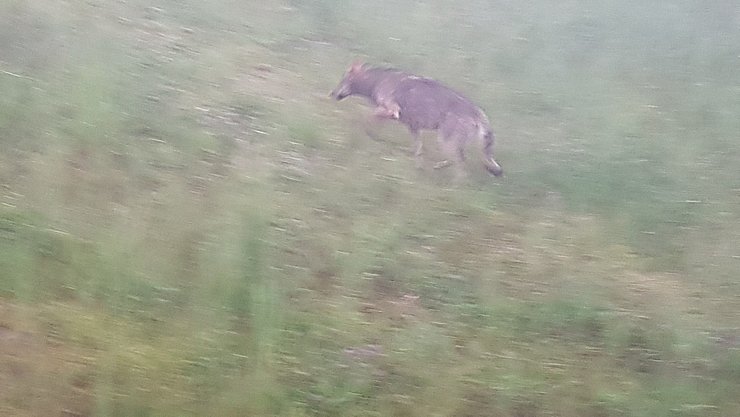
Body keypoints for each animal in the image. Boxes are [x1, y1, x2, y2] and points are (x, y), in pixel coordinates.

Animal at [330, 60, 502, 176]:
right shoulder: (413, 128)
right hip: (450, 144)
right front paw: (418, 169)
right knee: (460, 161)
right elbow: (418, 151)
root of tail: (478, 112)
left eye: (341, 81)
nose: (331, 93)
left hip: (445, 142)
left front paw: (366, 133)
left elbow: (367, 118)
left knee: (462, 167)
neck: (377, 81)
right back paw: (438, 168)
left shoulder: (392, 111)